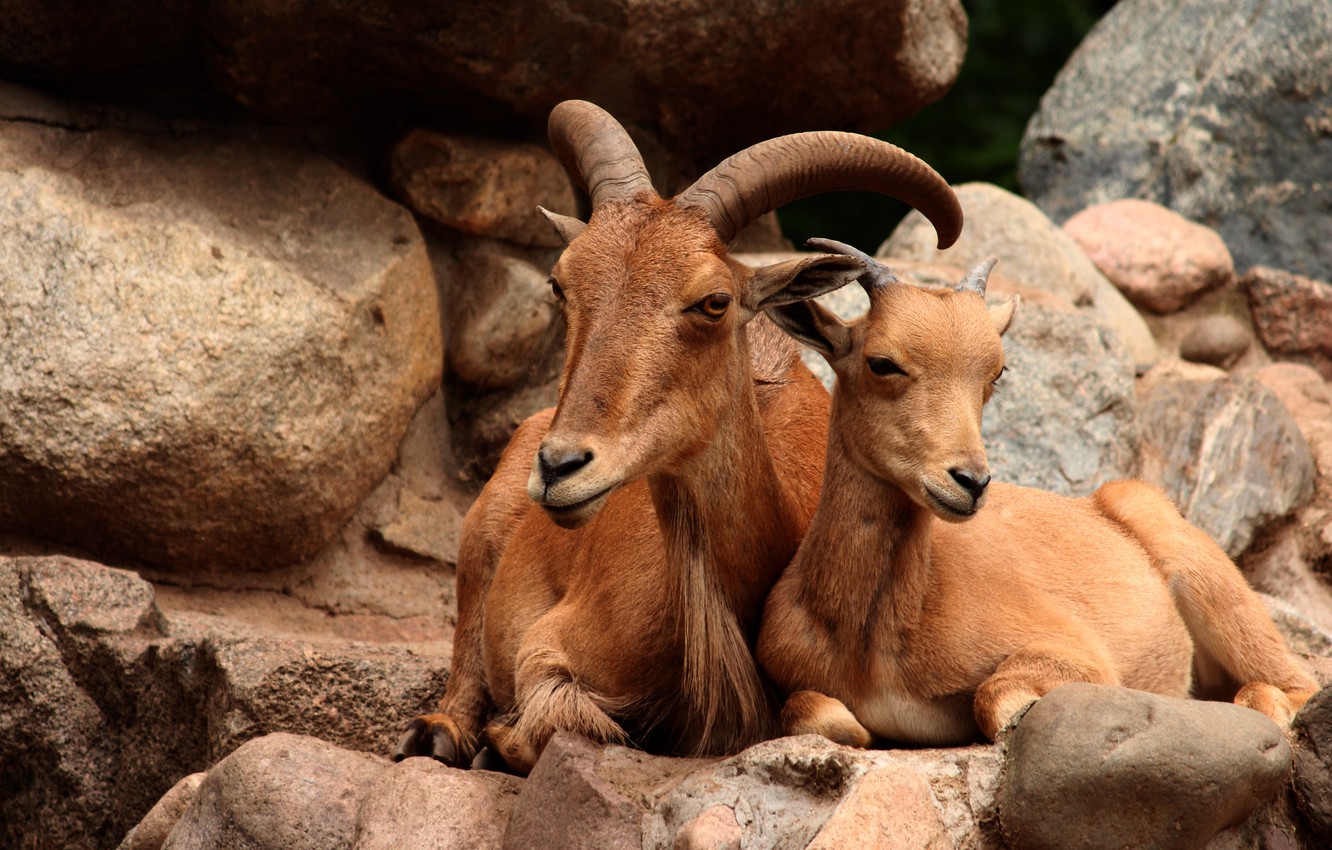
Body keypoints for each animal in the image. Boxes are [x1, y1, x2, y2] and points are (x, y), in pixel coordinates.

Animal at [393, 102, 963, 773]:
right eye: (561, 283)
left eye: (714, 301)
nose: (560, 466)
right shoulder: (548, 650)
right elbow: (561, 720)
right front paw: (495, 741)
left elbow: (834, 720)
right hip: (481, 535)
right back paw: (442, 733)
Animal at [756, 240, 1319, 746]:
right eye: (882, 362)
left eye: (996, 372)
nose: (970, 481)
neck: (870, 636)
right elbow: (808, 710)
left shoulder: (1077, 652)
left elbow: (997, 696)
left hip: (1213, 585)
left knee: (1294, 682)